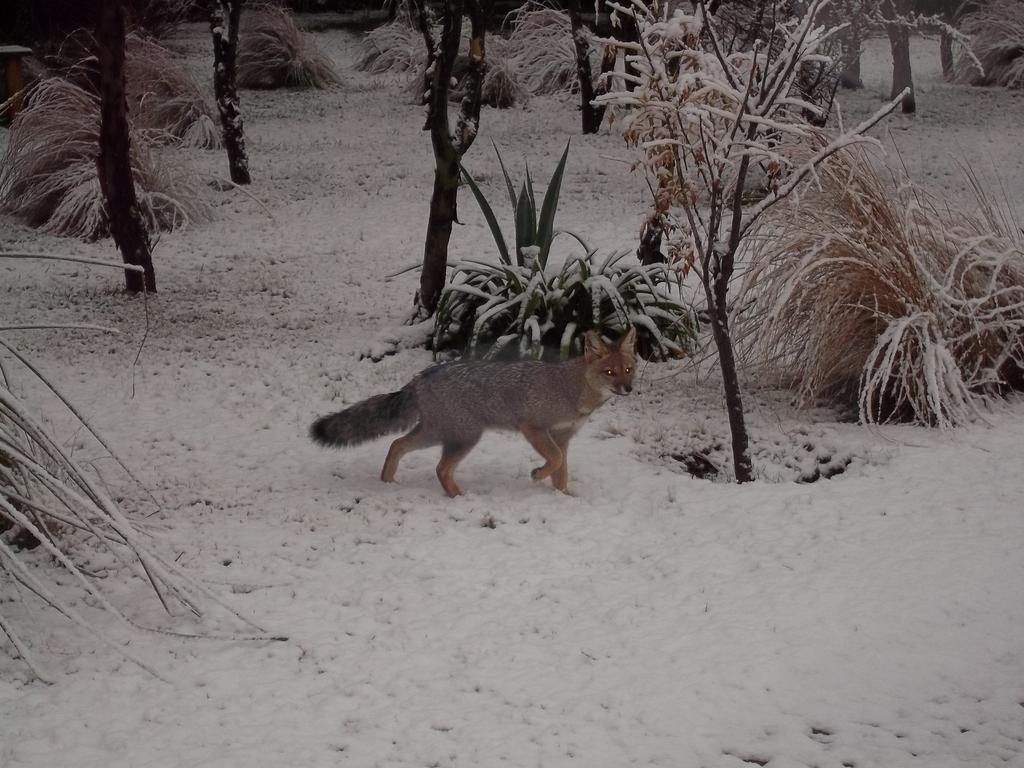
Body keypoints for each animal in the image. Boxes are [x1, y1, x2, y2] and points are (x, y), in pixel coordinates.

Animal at [307, 329, 634, 499]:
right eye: (610, 373)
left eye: (629, 370)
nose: (628, 389)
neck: (571, 388)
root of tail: (422, 376)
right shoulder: (534, 429)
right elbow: (552, 462)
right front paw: (537, 475)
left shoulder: (563, 438)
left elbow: (561, 471)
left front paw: (563, 497)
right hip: (463, 438)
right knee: (439, 468)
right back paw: (459, 498)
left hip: (437, 434)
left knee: (396, 444)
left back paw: (389, 483)